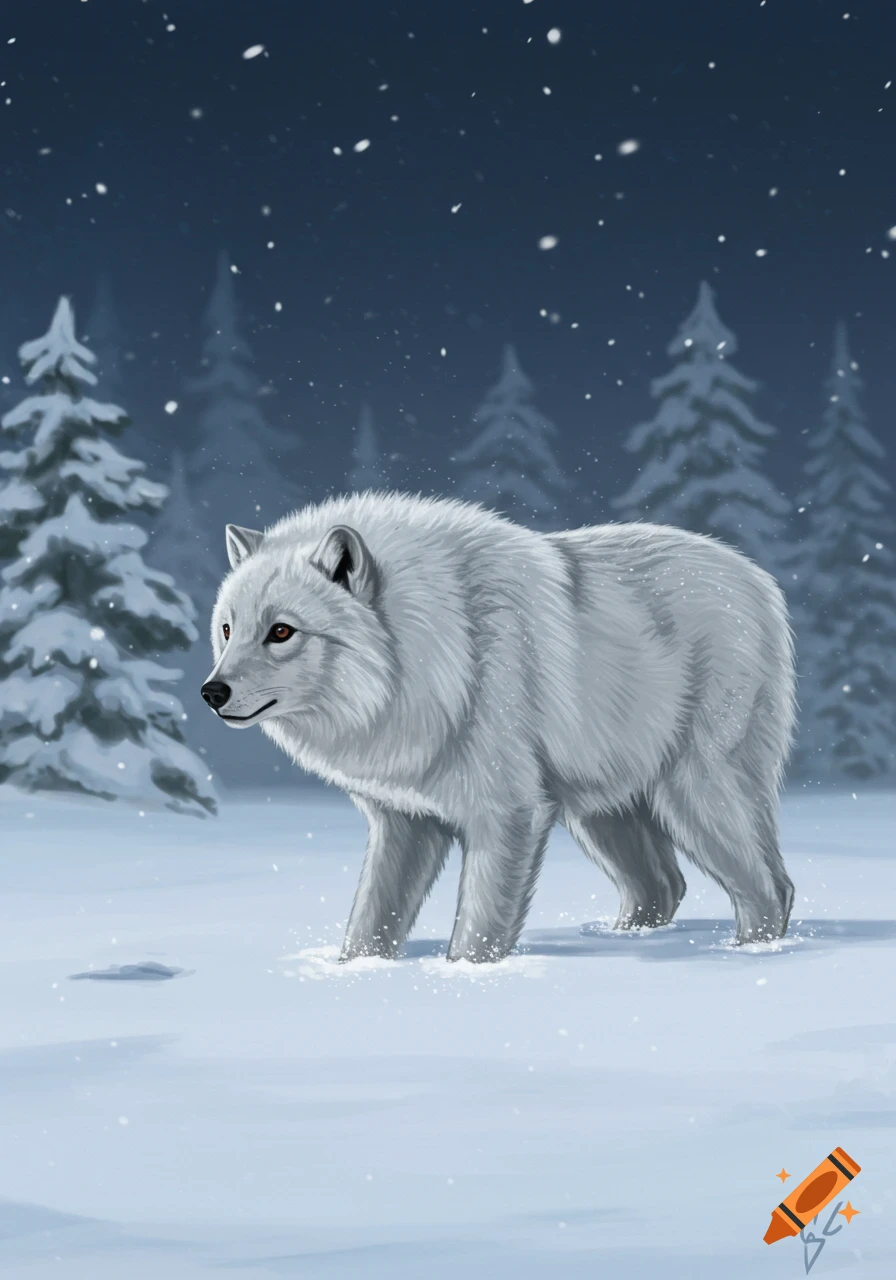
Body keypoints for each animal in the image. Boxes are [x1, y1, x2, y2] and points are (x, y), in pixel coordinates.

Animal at [201, 492, 796, 963]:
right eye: (228, 629)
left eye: (282, 632)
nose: (212, 693)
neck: (444, 656)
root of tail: (758, 577)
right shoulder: (404, 821)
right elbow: (371, 922)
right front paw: (356, 974)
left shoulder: (509, 814)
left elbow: (479, 929)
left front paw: (467, 981)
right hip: (600, 812)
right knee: (665, 886)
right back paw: (627, 941)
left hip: (691, 794)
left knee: (771, 887)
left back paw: (752, 957)